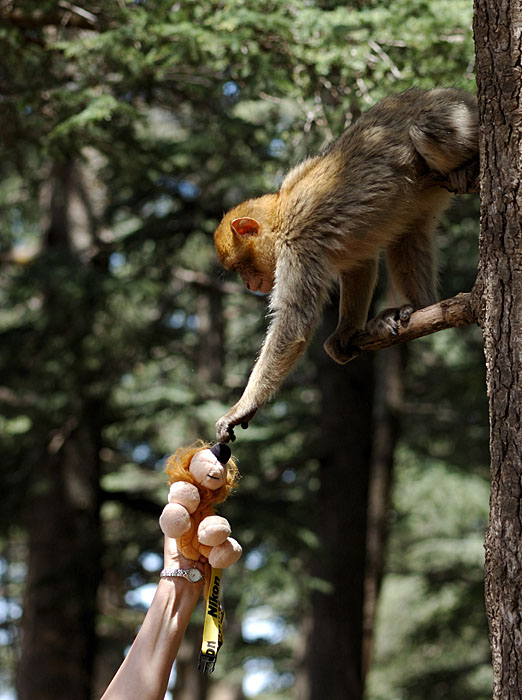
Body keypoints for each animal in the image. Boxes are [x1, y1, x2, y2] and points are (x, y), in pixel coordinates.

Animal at [211, 85, 476, 440]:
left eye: (241, 267)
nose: (249, 284)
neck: (280, 216)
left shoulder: (298, 245)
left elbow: (294, 322)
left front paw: (244, 406)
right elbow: (358, 263)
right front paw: (346, 332)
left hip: (456, 113)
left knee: (425, 130)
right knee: (409, 231)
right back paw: (420, 306)